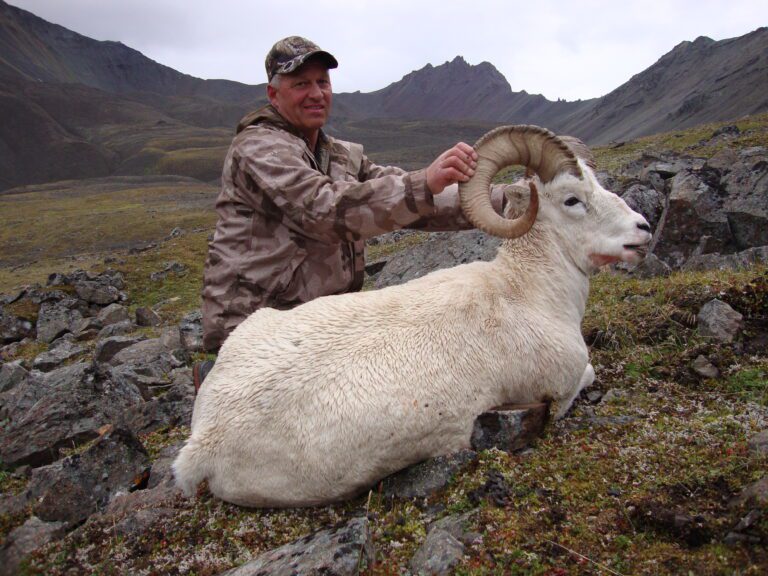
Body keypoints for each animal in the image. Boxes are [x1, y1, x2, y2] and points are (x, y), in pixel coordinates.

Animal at [171, 124, 652, 506]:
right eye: (572, 200)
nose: (643, 230)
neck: (524, 290)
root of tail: (203, 442)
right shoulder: (564, 384)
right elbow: (588, 375)